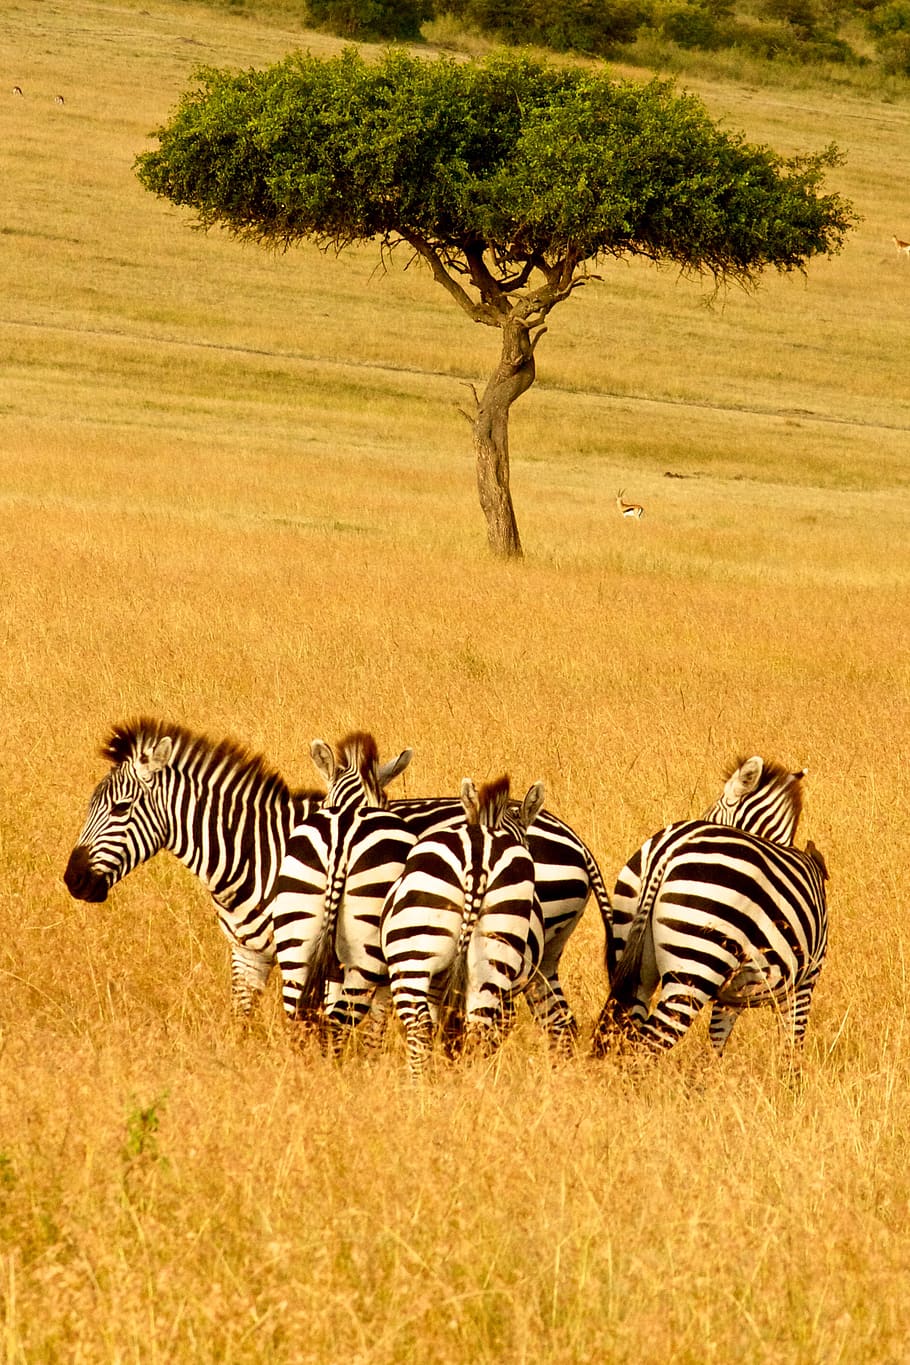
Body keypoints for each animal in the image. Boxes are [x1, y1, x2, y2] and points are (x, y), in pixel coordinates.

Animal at [64, 718, 322, 1016]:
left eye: (121, 808)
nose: (73, 879)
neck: (255, 855)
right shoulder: (248, 954)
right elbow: (241, 1020)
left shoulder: (304, 955)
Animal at [269, 731, 415, 1050]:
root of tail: (341, 839)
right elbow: (377, 1024)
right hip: (366, 954)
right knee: (340, 1022)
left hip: (295, 936)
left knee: (300, 1017)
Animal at [381, 775, 546, 1076]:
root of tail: (478, 858)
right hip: (493, 954)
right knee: (475, 1029)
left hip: (412, 955)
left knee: (421, 1026)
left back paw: (418, 1084)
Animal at [592, 759, 828, 1056]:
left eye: (710, 812)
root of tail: (667, 850)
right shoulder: (805, 981)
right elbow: (792, 1048)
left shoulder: (733, 995)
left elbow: (715, 1048)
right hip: (696, 963)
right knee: (648, 1044)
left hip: (633, 950)